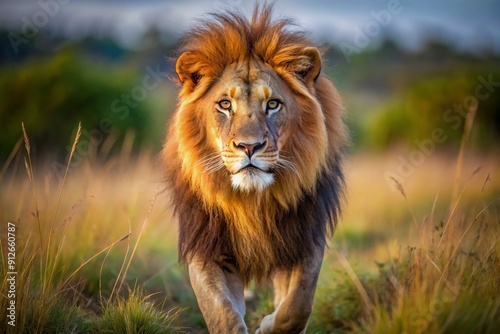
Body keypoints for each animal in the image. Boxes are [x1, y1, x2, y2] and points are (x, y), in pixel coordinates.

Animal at [163, 3, 348, 332]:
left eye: (273, 104)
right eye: (225, 104)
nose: (249, 147)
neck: (252, 202)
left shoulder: (304, 240)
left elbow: (297, 306)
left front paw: (268, 325)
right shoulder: (207, 248)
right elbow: (222, 314)